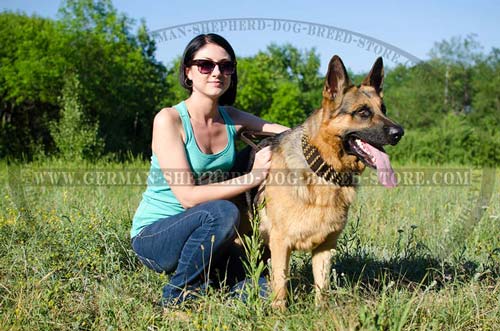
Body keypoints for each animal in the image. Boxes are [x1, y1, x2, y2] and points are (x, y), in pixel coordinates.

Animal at [256, 55, 404, 308]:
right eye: (363, 112)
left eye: (383, 109)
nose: (399, 132)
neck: (323, 168)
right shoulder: (280, 244)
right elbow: (280, 288)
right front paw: (280, 313)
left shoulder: (325, 247)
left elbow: (322, 286)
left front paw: (321, 310)